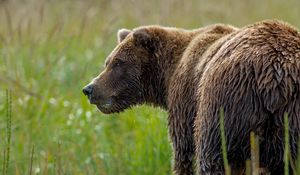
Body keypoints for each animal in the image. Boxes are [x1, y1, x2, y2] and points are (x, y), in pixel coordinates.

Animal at [83, 20, 300, 174]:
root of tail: (274, 78)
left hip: (226, 105)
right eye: (108, 62)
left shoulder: (185, 101)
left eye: (118, 63)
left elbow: (183, 153)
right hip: (288, 123)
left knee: (213, 158)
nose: (89, 89)